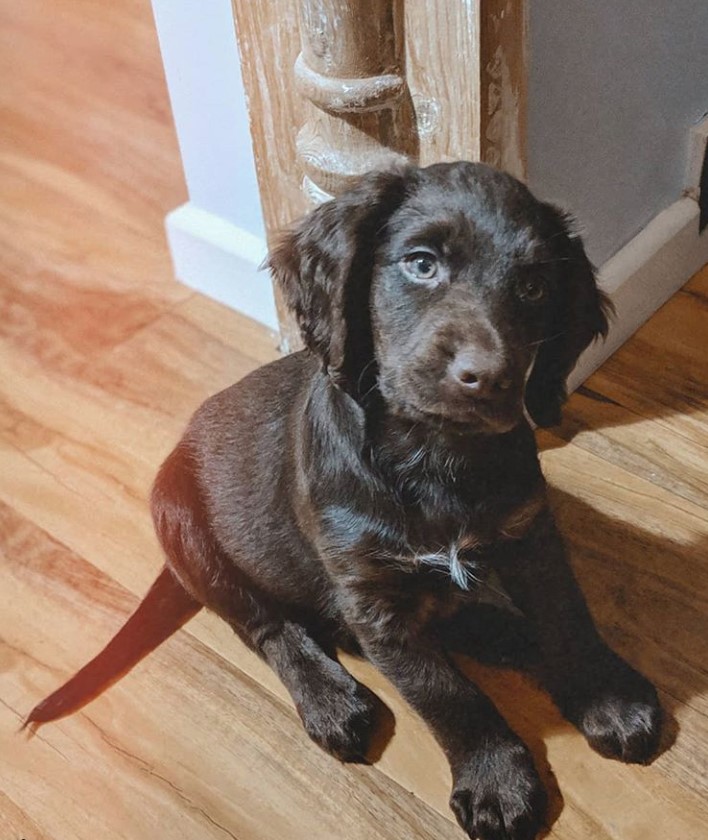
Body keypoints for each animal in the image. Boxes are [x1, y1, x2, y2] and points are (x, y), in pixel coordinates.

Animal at [27, 162, 660, 840]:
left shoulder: (530, 535)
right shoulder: (370, 596)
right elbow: (444, 692)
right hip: (182, 526)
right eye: (421, 264)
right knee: (266, 625)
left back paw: (499, 632)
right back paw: (331, 699)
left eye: (536, 287)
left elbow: (567, 617)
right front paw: (496, 778)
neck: (436, 458)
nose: (489, 379)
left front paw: (608, 698)